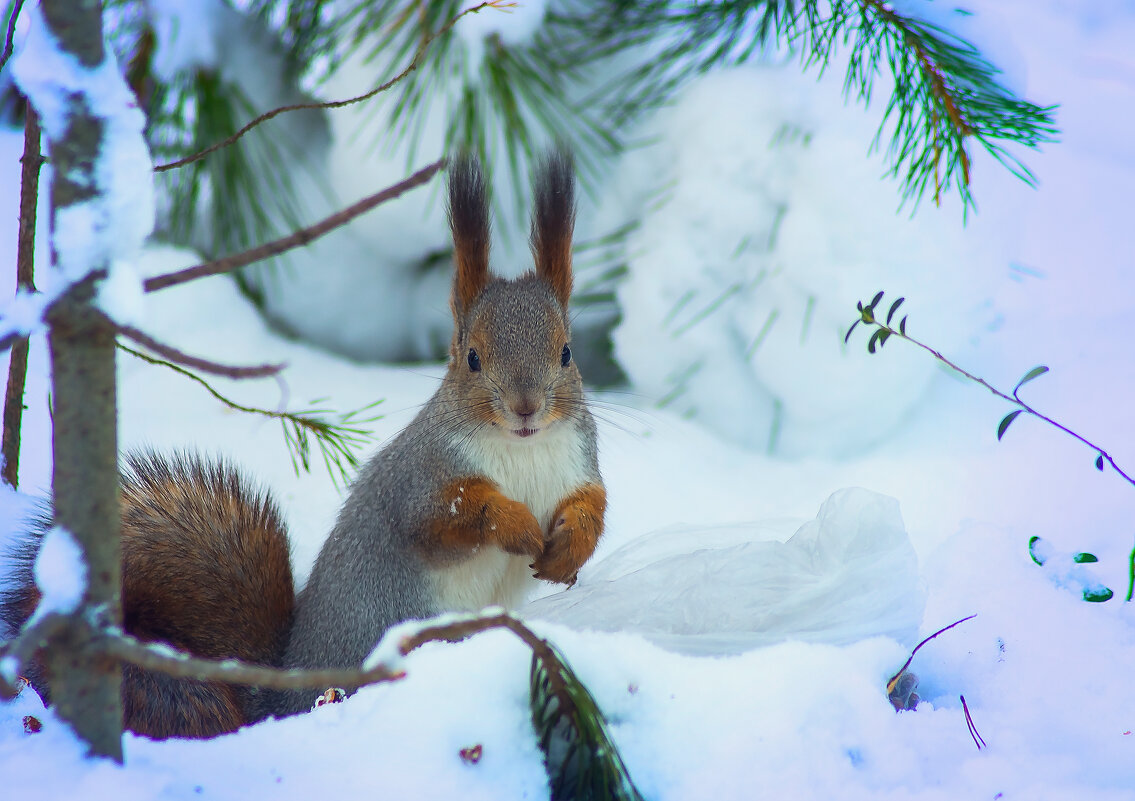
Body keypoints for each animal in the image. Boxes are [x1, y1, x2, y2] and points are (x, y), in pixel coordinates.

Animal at [0, 149, 608, 735]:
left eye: (566, 353)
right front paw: (516, 523)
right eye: (473, 358)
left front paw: (570, 549)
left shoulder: (580, 463)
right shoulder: (419, 482)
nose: (526, 409)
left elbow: (593, 506)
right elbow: (450, 516)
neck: (523, 450)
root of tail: (282, 693)